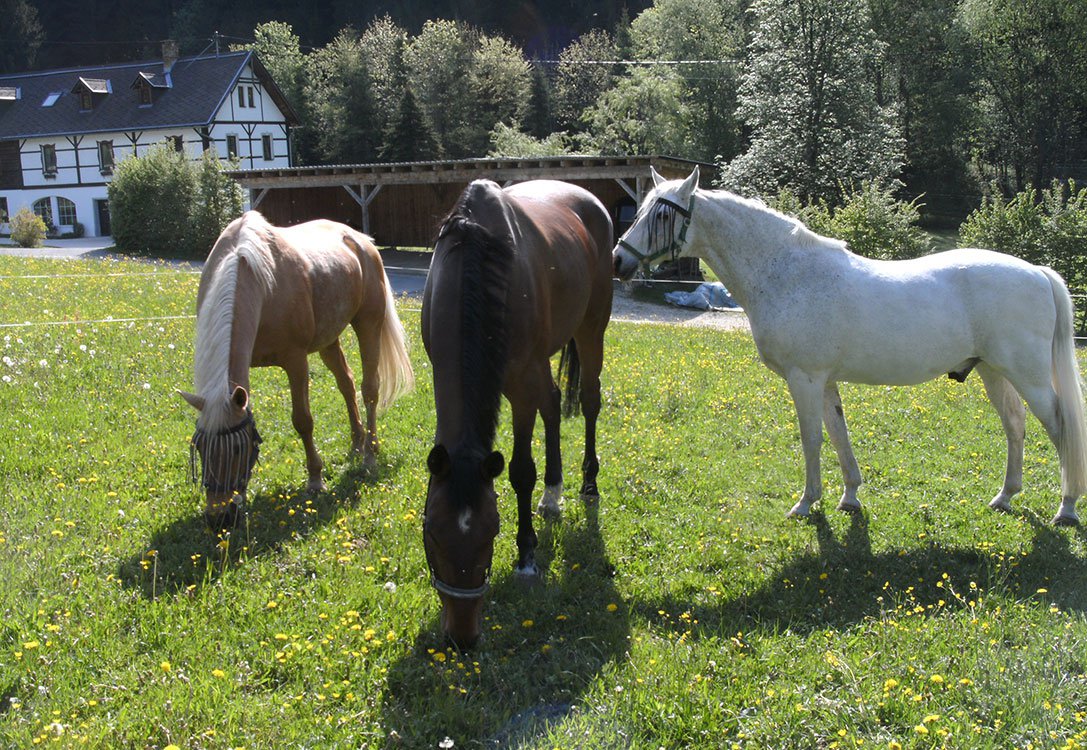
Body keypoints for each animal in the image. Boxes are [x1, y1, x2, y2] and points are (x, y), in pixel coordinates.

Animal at [180, 210, 413, 526]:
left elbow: (303, 421)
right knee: (347, 383)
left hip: (368, 325)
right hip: (329, 340)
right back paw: (356, 442)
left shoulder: (295, 360)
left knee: (369, 390)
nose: (220, 518)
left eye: (239, 448)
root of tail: (361, 240)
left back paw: (369, 454)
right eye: (201, 447)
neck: (255, 278)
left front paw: (315, 479)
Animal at [421, 178, 617, 643]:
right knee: (553, 403)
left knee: (589, 401)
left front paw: (527, 557)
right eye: (432, 534)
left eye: (493, 531)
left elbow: (520, 471)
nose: (463, 638)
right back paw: (553, 493)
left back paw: (587, 484)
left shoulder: (521, 388)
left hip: (591, 329)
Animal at [613, 166, 1087, 523]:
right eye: (642, 209)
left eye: (662, 216)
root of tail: (1038, 272)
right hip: (992, 371)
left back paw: (1066, 508)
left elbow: (812, 438)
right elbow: (839, 434)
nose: (618, 261)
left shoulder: (804, 378)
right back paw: (1004, 497)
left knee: (1060, 427)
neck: (789, 274)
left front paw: (806, 504)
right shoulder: (824, 380)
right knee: (1015, 425)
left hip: (1029, 376)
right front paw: (850, 497)